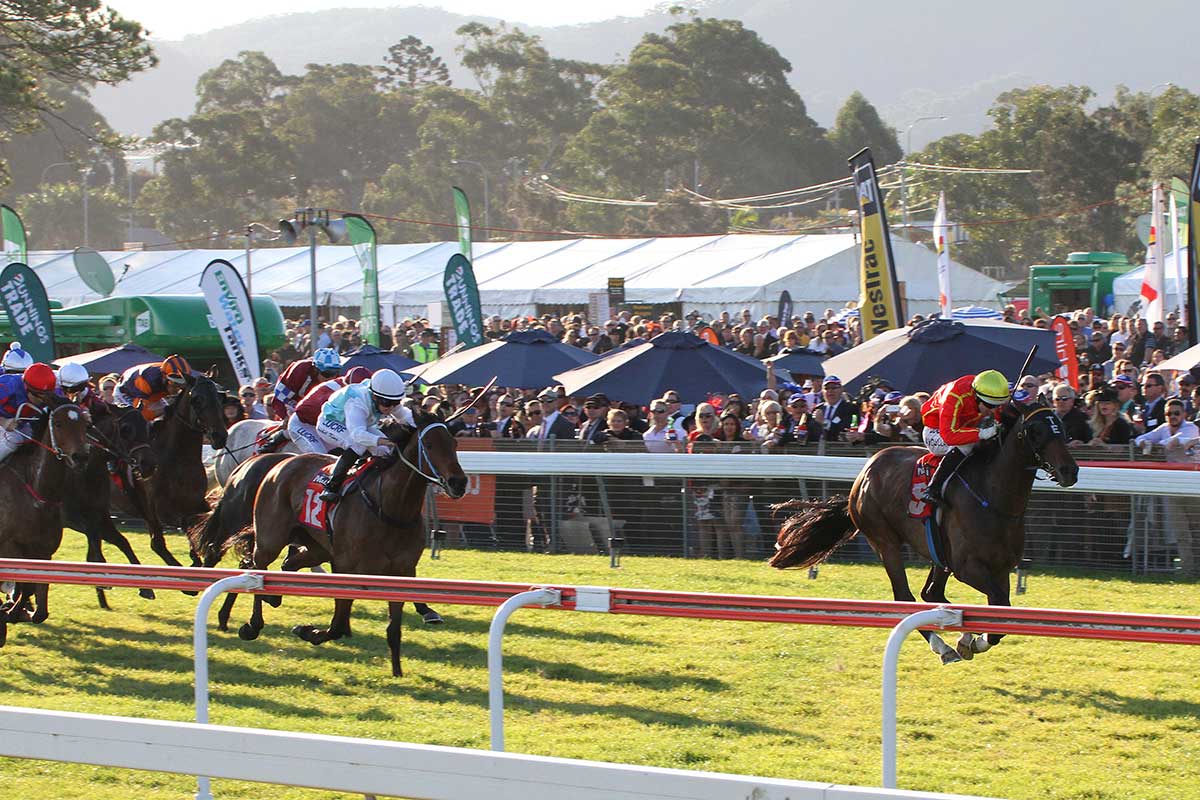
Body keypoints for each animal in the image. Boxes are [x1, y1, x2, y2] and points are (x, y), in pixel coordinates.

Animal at [0, 400, 91, 642]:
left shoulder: (43, 551)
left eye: (85, 424)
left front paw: (17, 611)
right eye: (58, 423)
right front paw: (10, 611)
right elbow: (24, 584)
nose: (81, 457)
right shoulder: (10, 546)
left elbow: (37, 603)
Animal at [112, 376, 226, 568]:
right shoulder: (159, 509)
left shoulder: (196, 501)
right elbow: (185, 525)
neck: (176, 458)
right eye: (196, 400)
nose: (220, 436)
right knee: (156, 543)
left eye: (220, 397)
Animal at [235, 412, 468, 676]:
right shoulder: (345, 568)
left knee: (288, 563)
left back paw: (274, 596)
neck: (390, 509)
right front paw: (306, 631)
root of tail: (282, 463)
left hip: (318, 547)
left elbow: (393, 629)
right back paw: (253, 625)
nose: (459, 482)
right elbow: (338, 625)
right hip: (270, 538)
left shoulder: (401, 571)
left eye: (454, 443)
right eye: (428, 445)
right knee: (259, 568)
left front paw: (397, 671)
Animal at [772, 407, 1084, 662]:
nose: (1069, 470)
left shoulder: (1000, 568)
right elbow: (997, 608)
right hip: (884, 541)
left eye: (1061, 427)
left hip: (938, 554)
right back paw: (942, 646)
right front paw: (970, 640)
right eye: (1035, 431)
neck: (993, 497)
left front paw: (970, 639)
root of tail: (864, 472)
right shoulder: (968, 568)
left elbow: (1000, 612)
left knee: (931, 593)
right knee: (905, 597)